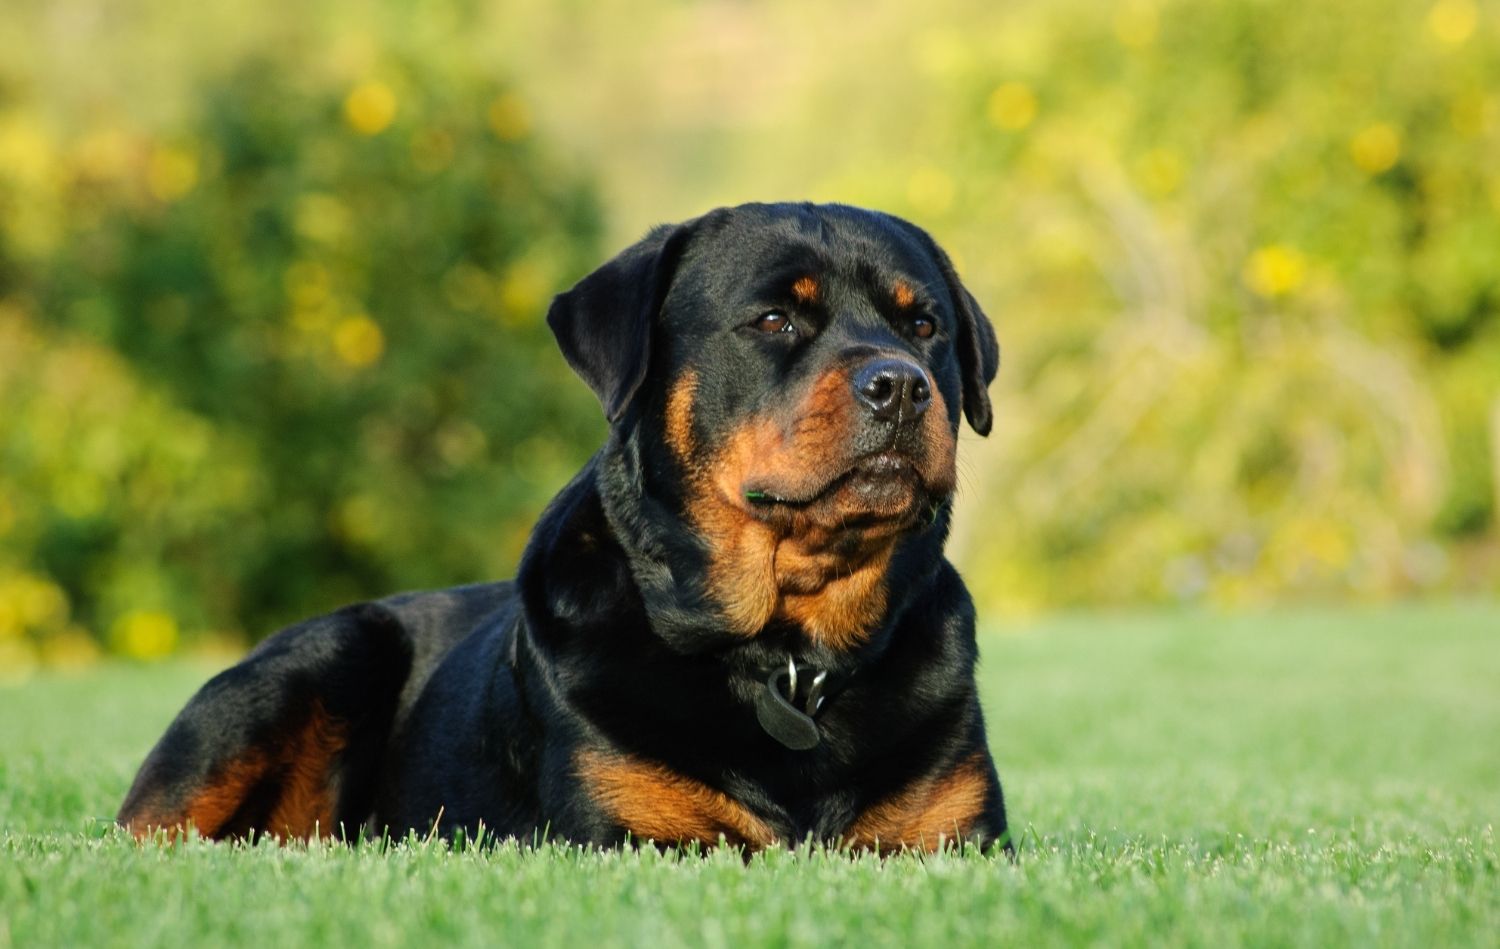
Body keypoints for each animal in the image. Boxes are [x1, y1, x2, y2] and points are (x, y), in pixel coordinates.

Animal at [117, 199, 1008, 851]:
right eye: (774, 321)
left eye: (925, 326)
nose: (901, 384)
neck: (788, 657)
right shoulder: (629, 832)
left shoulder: (955, 840)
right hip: (312, 662)